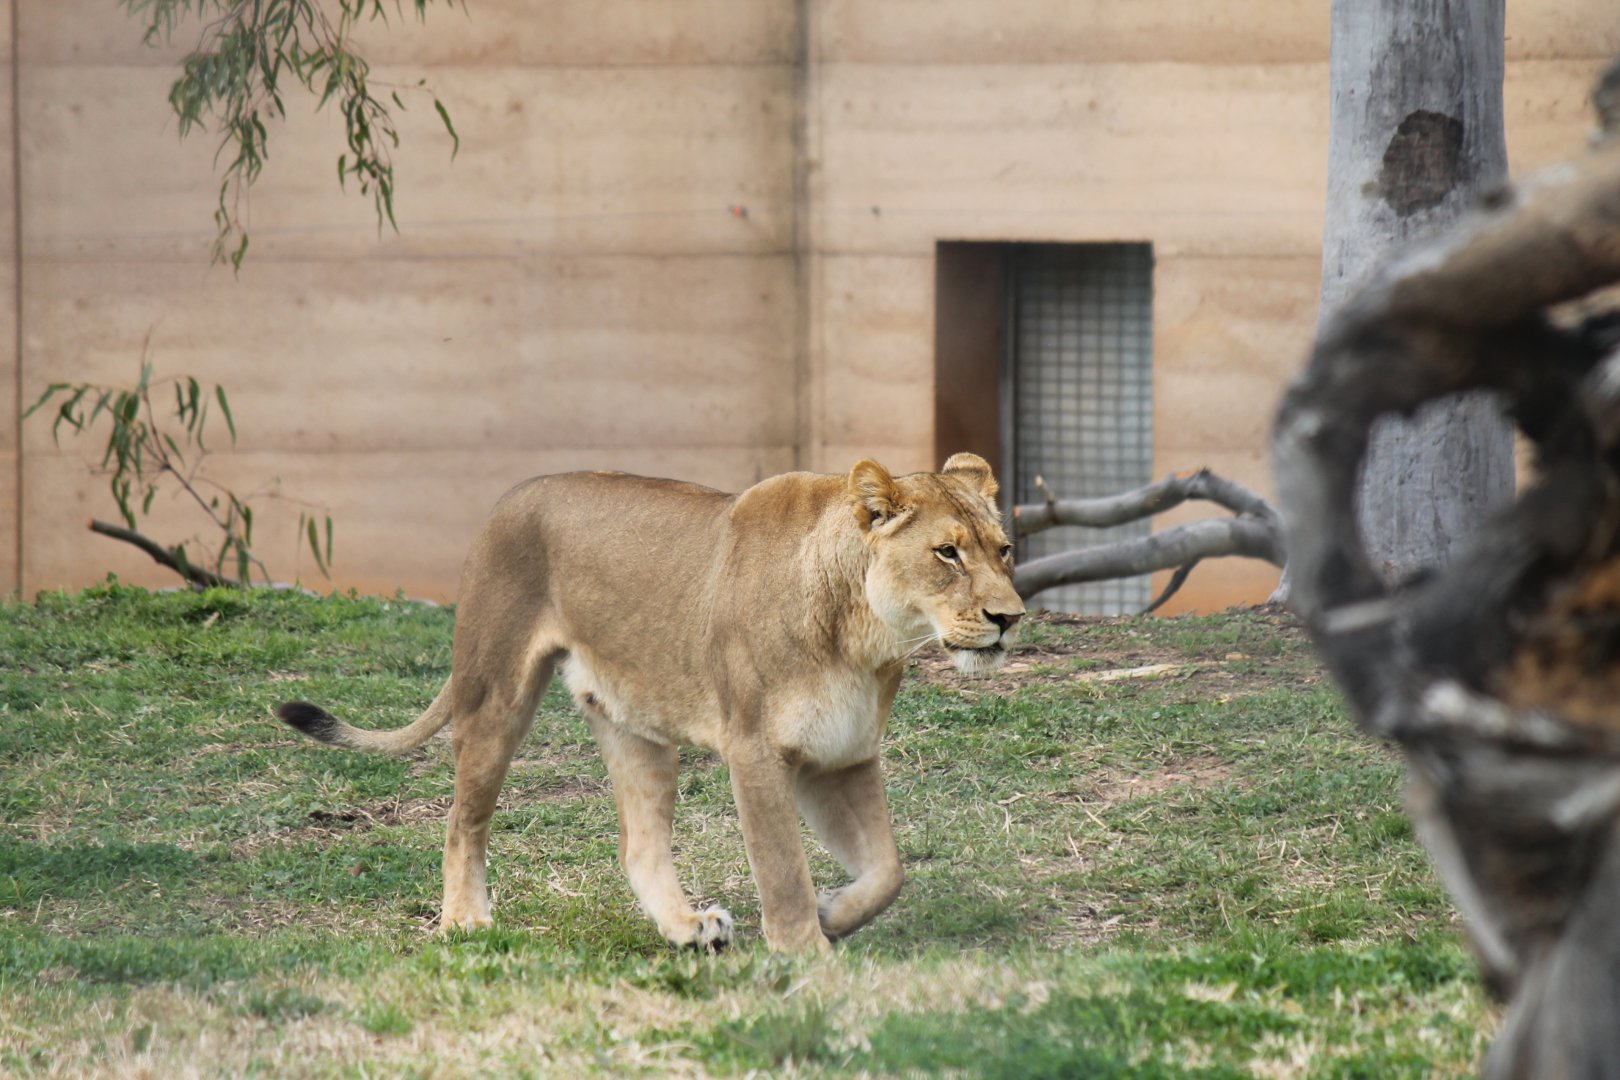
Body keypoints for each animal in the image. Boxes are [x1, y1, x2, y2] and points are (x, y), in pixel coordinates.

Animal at [276, 453, 1024, 953]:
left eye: (1005, 550)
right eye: (947, 553)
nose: (1010, 617)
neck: (865, 639)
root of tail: (508, 496)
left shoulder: (841, 754)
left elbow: (888, 869)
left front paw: (834, 914)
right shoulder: (757, 749)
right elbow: (783, 868)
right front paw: (807, 956)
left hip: (635, 727)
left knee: (638, 844)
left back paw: (690, 927)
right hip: (494, 695)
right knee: (465, 818)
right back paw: (465, 920)